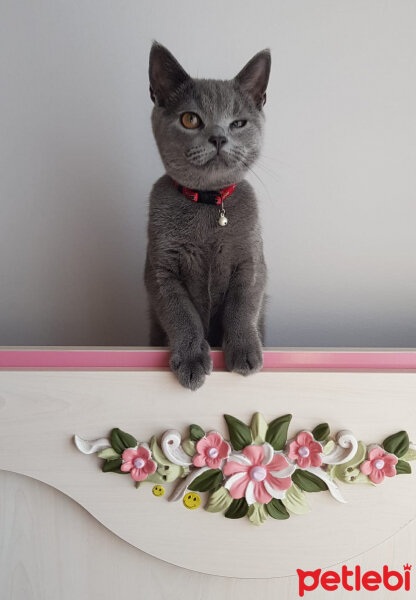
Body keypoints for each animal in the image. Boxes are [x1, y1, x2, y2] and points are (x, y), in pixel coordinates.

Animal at [146, 41, 270, 390]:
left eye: (238, 123)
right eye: (190, 119)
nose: (218, 137)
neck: (208, 203)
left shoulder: (251, 262)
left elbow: (242, 305)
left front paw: (244, 351)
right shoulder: (161, 271)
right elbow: (182, 315)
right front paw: (191, 359)